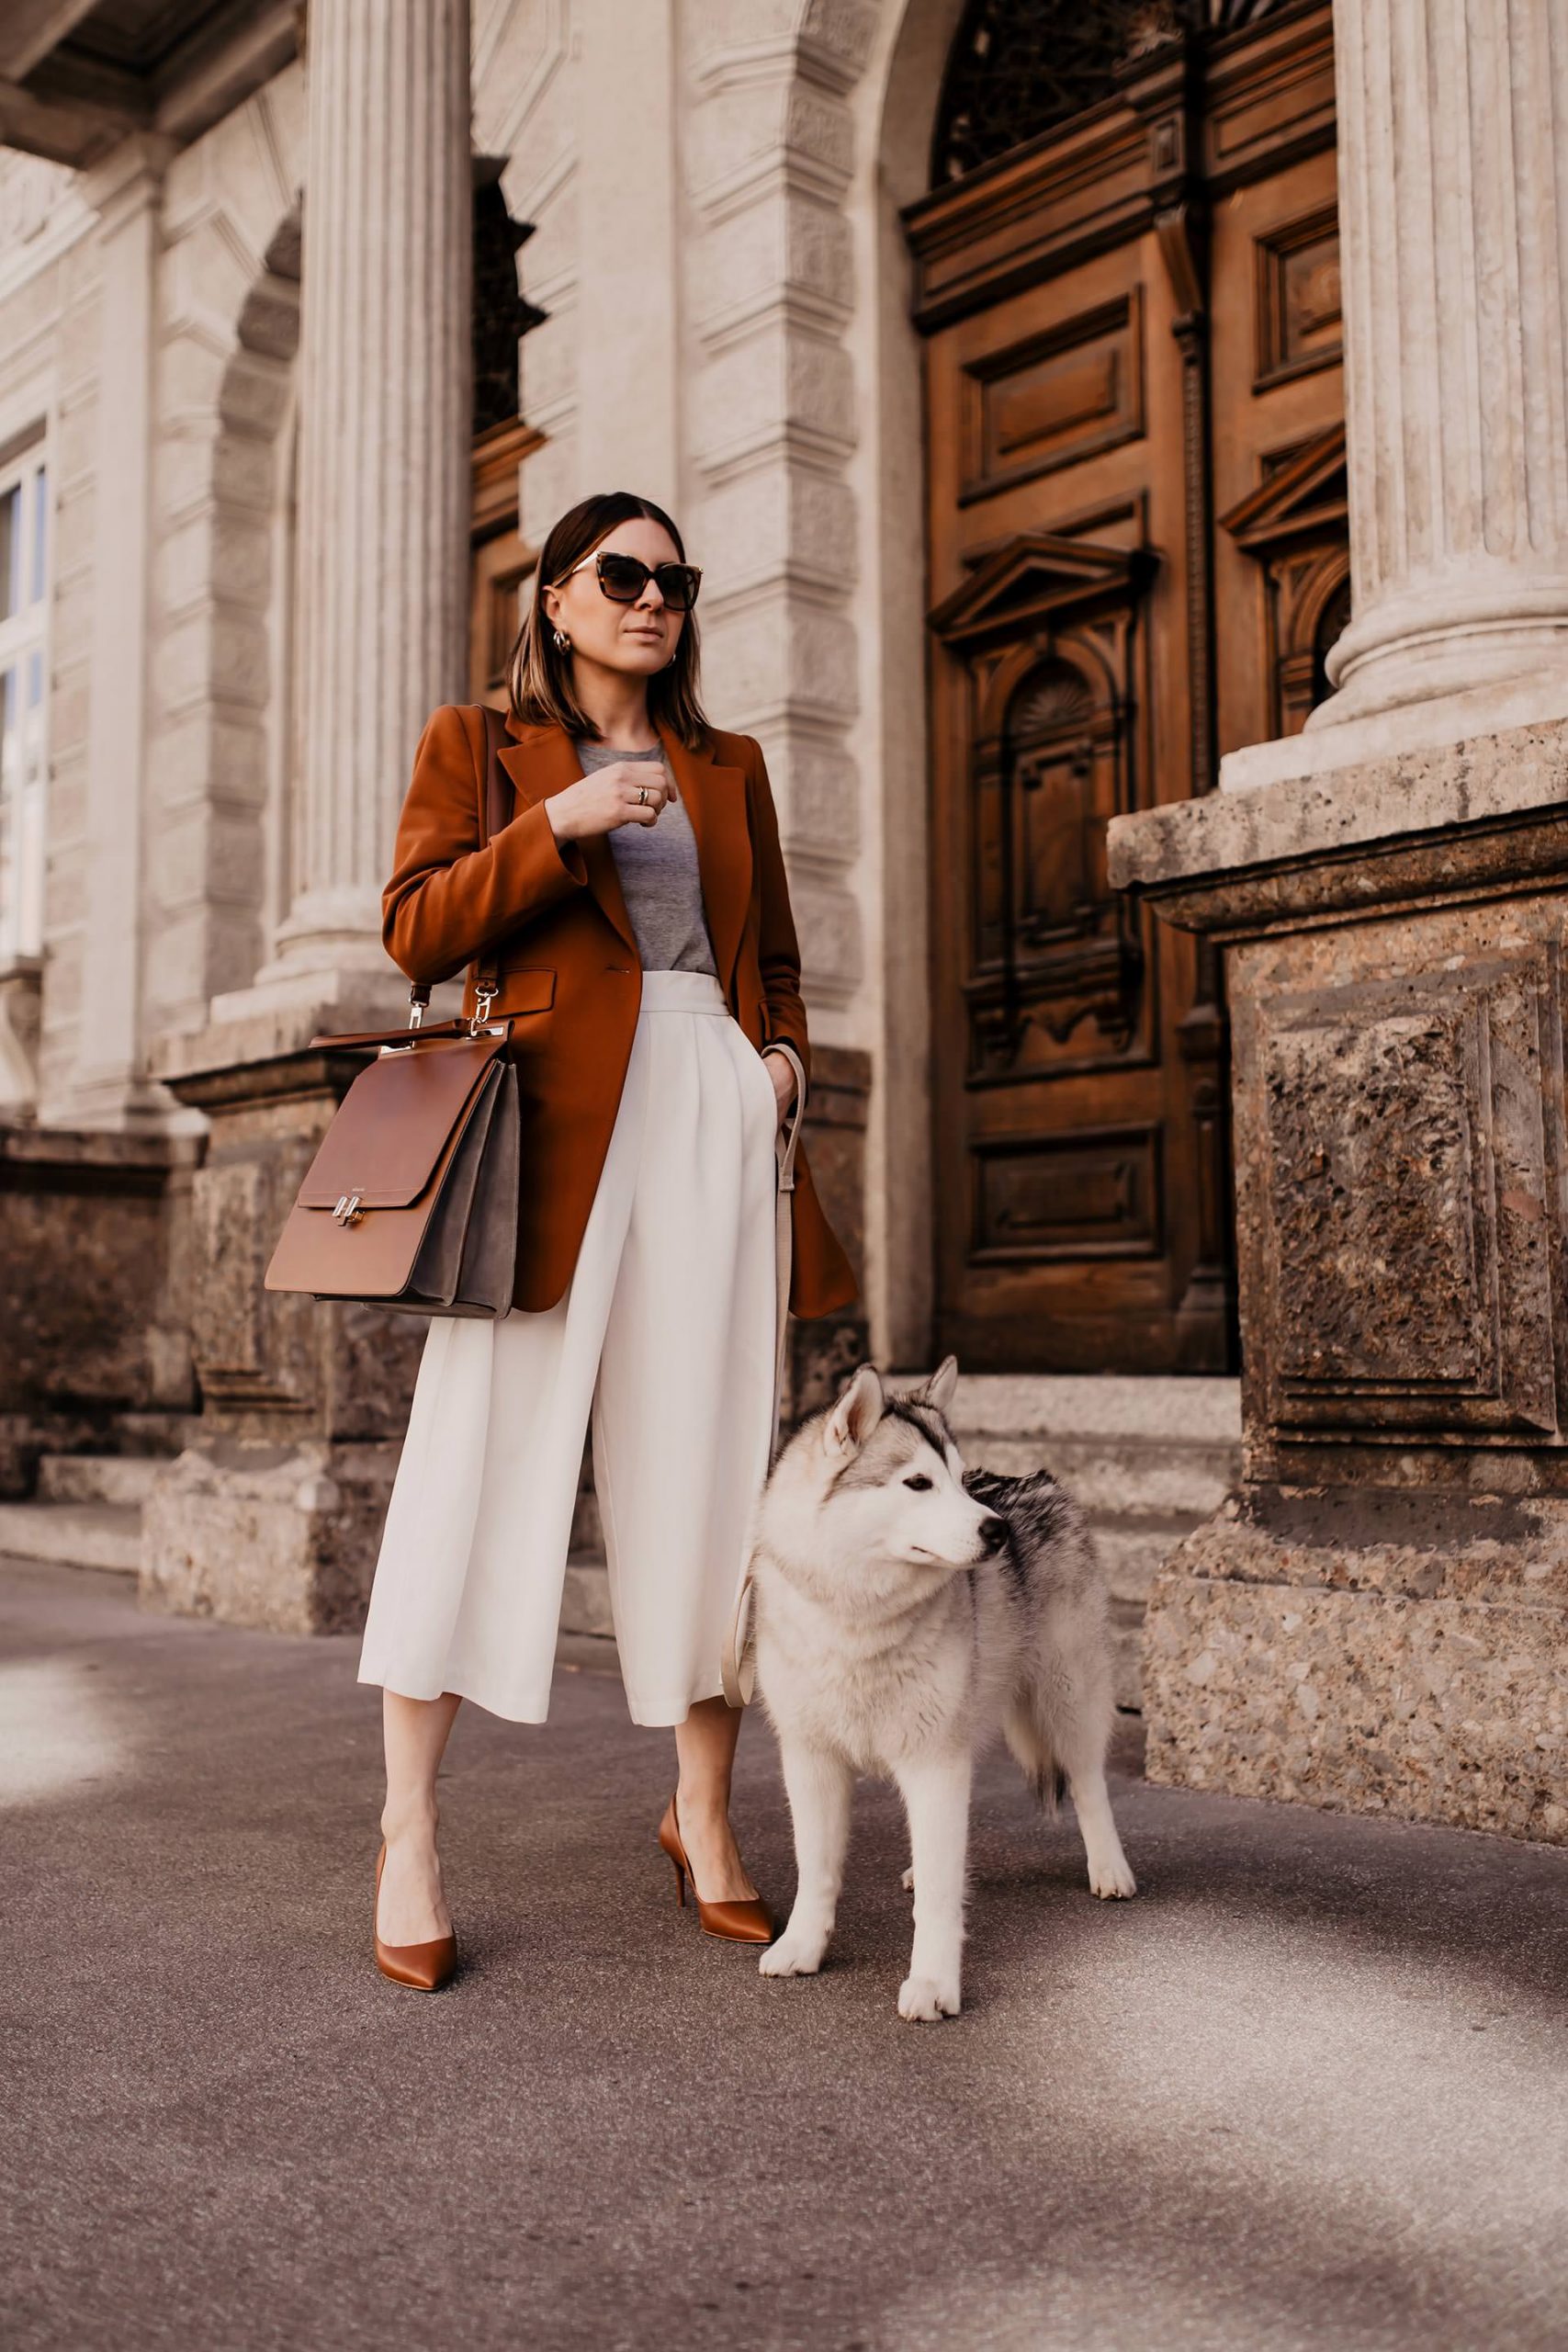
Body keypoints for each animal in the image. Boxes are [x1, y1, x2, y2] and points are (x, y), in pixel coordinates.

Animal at [751, 1363, 1133, 2022]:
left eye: (958, 1480)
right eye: (918, 1483)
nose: (996, 1530)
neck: (860, 1621)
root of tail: (1034, 1480)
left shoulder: (934, 1761)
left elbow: (936, 1895)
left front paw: (932, 1983)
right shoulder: (811, 1759)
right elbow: (816, 1868)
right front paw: (802, 1947)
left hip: (1067, 1700)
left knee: (1088, 1785)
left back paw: (1109, 1867)